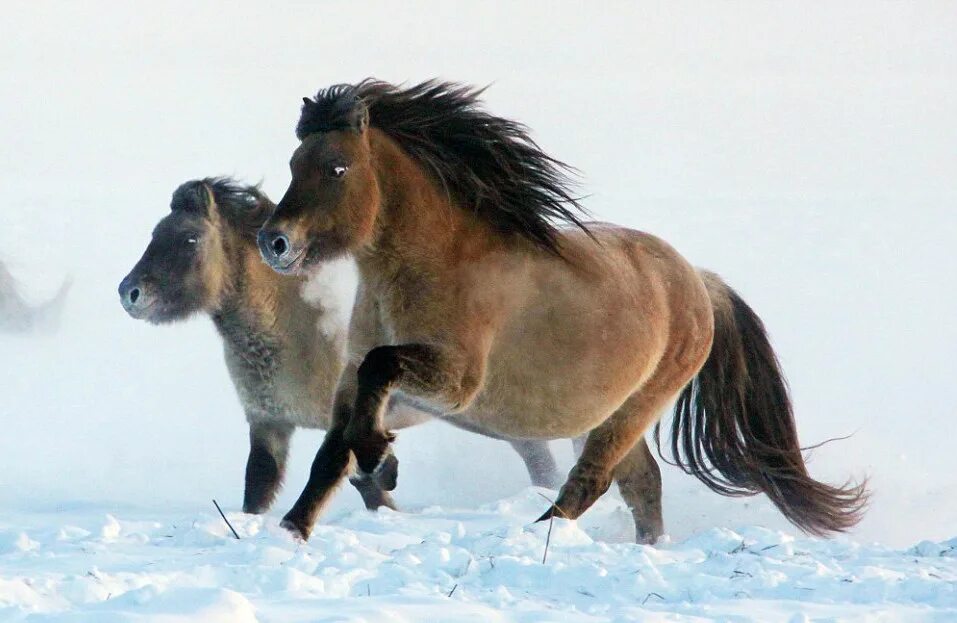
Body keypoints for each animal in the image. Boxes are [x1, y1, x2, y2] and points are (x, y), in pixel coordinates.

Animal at [117, 177, 561, 514]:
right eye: (155, 234)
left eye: (190, 239)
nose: (129, 293)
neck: (295, 325)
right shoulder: (269, 423)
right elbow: (257, 491)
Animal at [257, 79, 868, 543]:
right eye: (293, 163)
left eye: (337, 168)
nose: (274, 242)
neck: (434, 263)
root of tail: (699, 282)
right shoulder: (354, 378)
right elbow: (331, 454)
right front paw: (294, 529)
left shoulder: (456, 382)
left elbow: (378, 373)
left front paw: (379, 459)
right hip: (614, 411)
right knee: (642, 483)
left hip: (635, 408)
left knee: (592, 480)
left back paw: (536, 534)